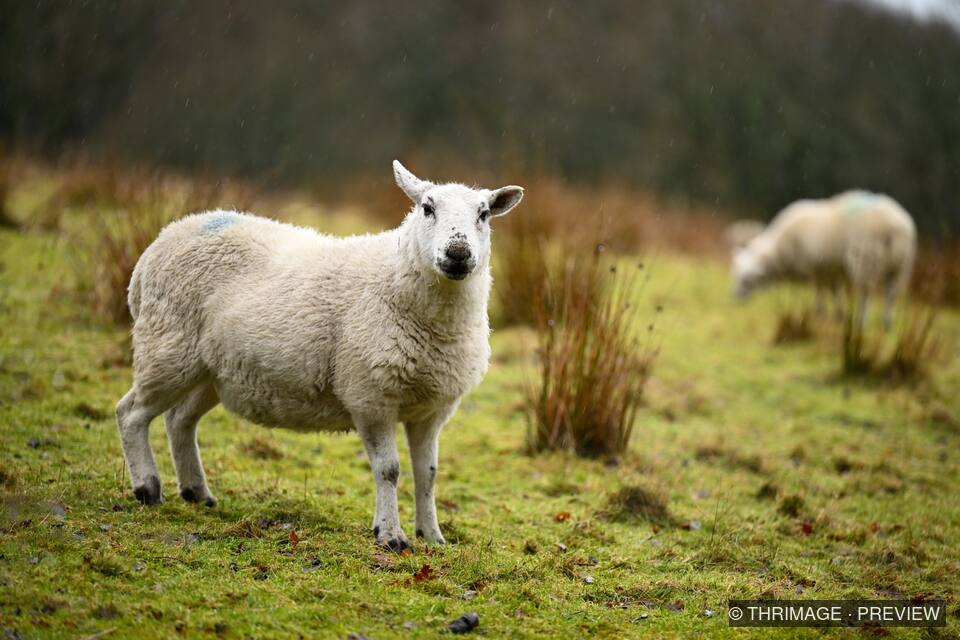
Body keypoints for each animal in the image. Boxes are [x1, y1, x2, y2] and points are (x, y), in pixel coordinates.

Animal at [116, 161, 523, 551]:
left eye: (484, 214)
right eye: (427, 208)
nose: (458, 254)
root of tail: (160, 242)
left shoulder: (431, 409)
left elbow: (429, 474)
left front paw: (433, 536)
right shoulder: (369, 395)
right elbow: (389, 469)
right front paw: (391, 536)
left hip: (212, 372)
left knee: (179, 420)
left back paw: (197, 493)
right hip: (168, 347)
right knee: (130, 413)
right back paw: (148, 488)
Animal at [732, 190, 916, 328]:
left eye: (746, 279)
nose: (736, 298)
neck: (780, 250)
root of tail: (896, 227)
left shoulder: (816, 268)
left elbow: (819, 290)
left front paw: (819, 312)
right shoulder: (833, 269)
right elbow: (835, 290)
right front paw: (838, 314)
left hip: (867, 259)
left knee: (866, 292)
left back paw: (862, 320)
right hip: (900, 266)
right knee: (891, 294)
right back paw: (887, 322)